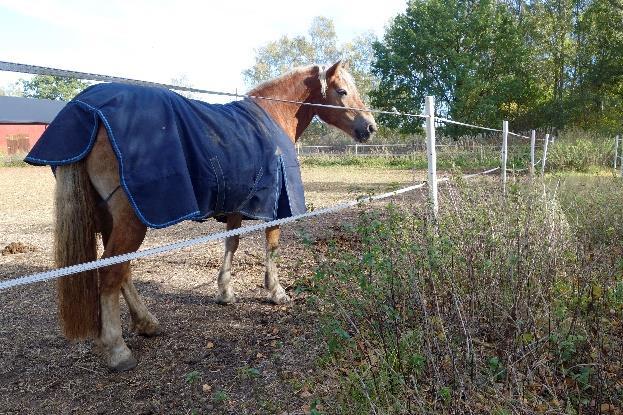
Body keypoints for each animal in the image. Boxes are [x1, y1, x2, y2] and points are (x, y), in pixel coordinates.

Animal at [45, 60, 376, 372]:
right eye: (342, 91)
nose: (370, 127)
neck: (273, 115)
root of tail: (86, 110)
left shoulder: (239, 203)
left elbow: (232, 243)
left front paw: (225, 291)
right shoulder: (275, 207)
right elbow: (271, 246)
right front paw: (276, 292)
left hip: (108, 219)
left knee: (120, 271)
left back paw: (147, 323)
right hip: (131, 221)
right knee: (111, 273)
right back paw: (118, 350)